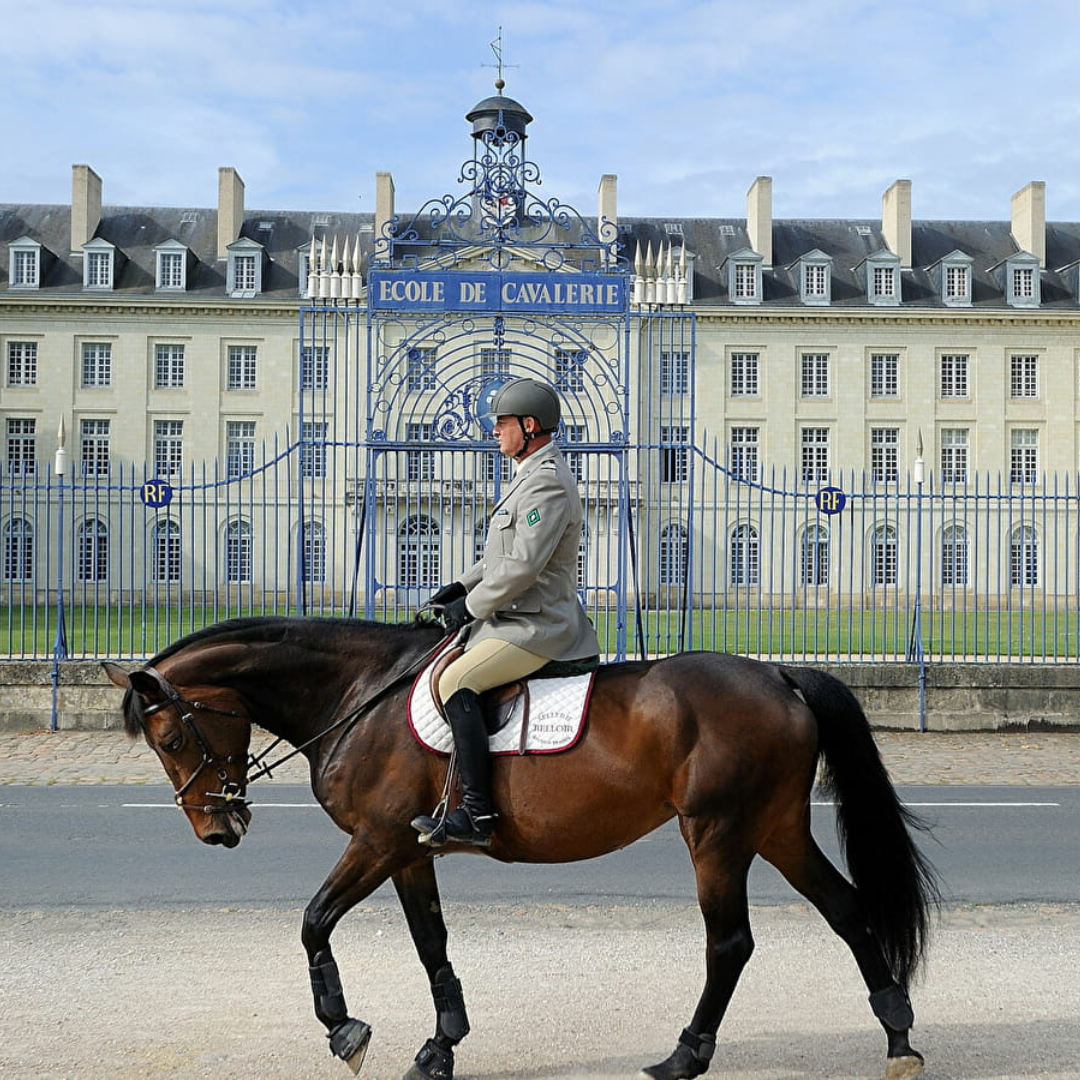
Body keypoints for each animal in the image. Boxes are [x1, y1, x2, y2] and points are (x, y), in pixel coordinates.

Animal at [105, 617, 941, 1080]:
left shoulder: (377, 841)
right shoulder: (408, 852)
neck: (361, 692)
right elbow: (431, 944)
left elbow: (313, 922)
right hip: (775, 829)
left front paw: (345, 1029)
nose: (218, 829)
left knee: (730, 943)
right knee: (848, 912)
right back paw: (899, 1037)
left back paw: (686, 1055)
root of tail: (778, 674)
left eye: (172, 739)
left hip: (718, 833)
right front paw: (440, 1047)